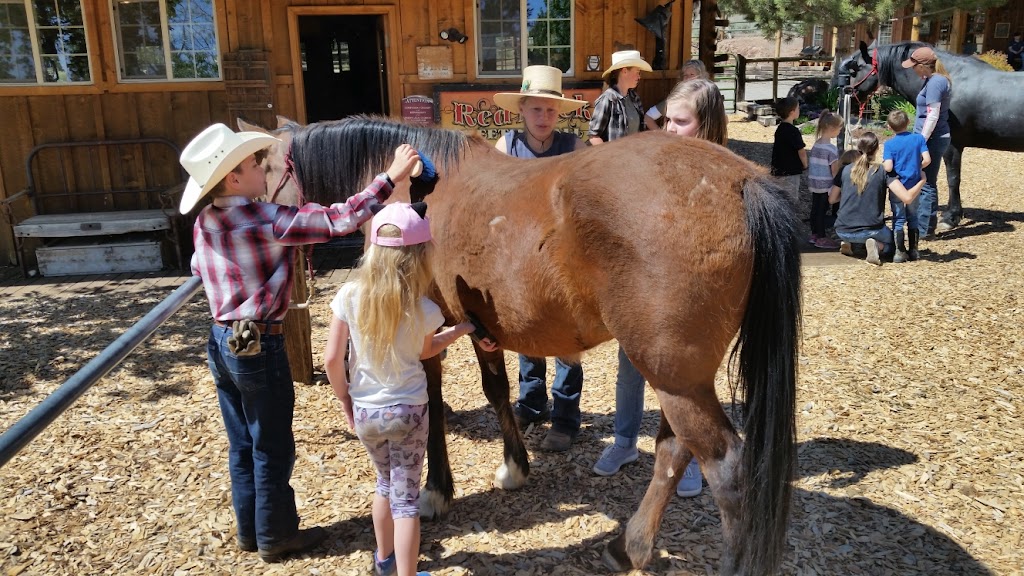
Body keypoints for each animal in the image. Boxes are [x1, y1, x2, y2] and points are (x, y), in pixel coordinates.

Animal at [240, 115, 801, 575]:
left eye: (262, 166)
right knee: (672, 450)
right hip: (678, 377)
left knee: (725, 468)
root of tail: (740, 179)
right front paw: (516, 466)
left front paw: (437, 491)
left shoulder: (428, 337)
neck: (421, 188)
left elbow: (437, 407)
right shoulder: (479, 329)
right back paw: (629, 548)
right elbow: (498, 391)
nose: (255, 223)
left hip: (675, 378)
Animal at [835, 41, 1024, 232]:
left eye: (854, 70)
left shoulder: (953, 145)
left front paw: (950, 217)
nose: (843, 98)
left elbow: (953, 178)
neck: (952, 81)